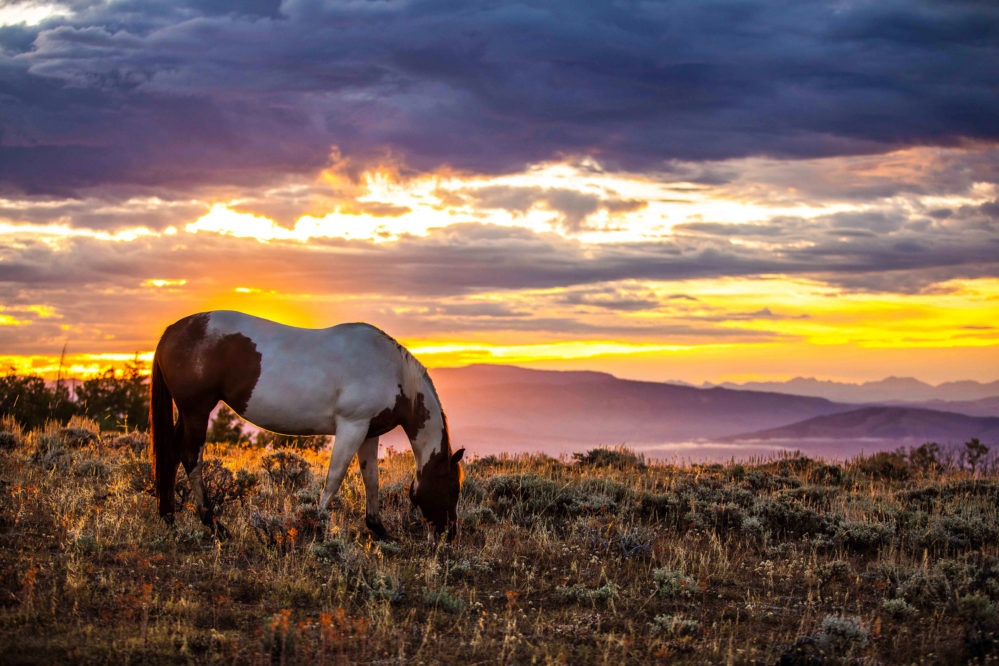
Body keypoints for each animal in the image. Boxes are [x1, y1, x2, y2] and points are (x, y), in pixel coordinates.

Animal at [150, 310, 464, 539]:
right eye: (453, 489)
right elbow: (335, 477)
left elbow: (371, 479)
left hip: (188, 413)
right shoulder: (352, 426)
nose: (449, 535)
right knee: (191, 457)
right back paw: (212, 523)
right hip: (196, 410)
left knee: (171, 454)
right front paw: (316, 524)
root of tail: (174, 329)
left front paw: (378, 529)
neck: (393, 373)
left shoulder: (368, 433)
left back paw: (169, 518)